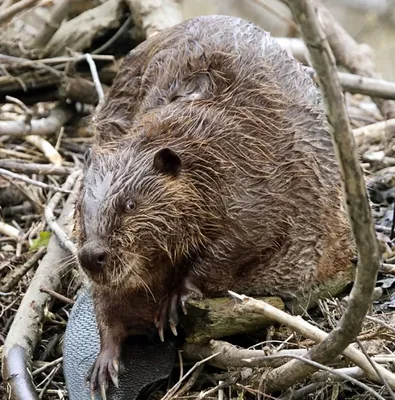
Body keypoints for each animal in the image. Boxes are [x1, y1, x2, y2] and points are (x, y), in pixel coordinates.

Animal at [75, 14, 356, 396]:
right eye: (81, 208)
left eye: (130, 204)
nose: (91, 255)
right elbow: (109, 303)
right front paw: (103, 366)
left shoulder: (257, 189)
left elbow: (236, 246)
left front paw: (174, 304)